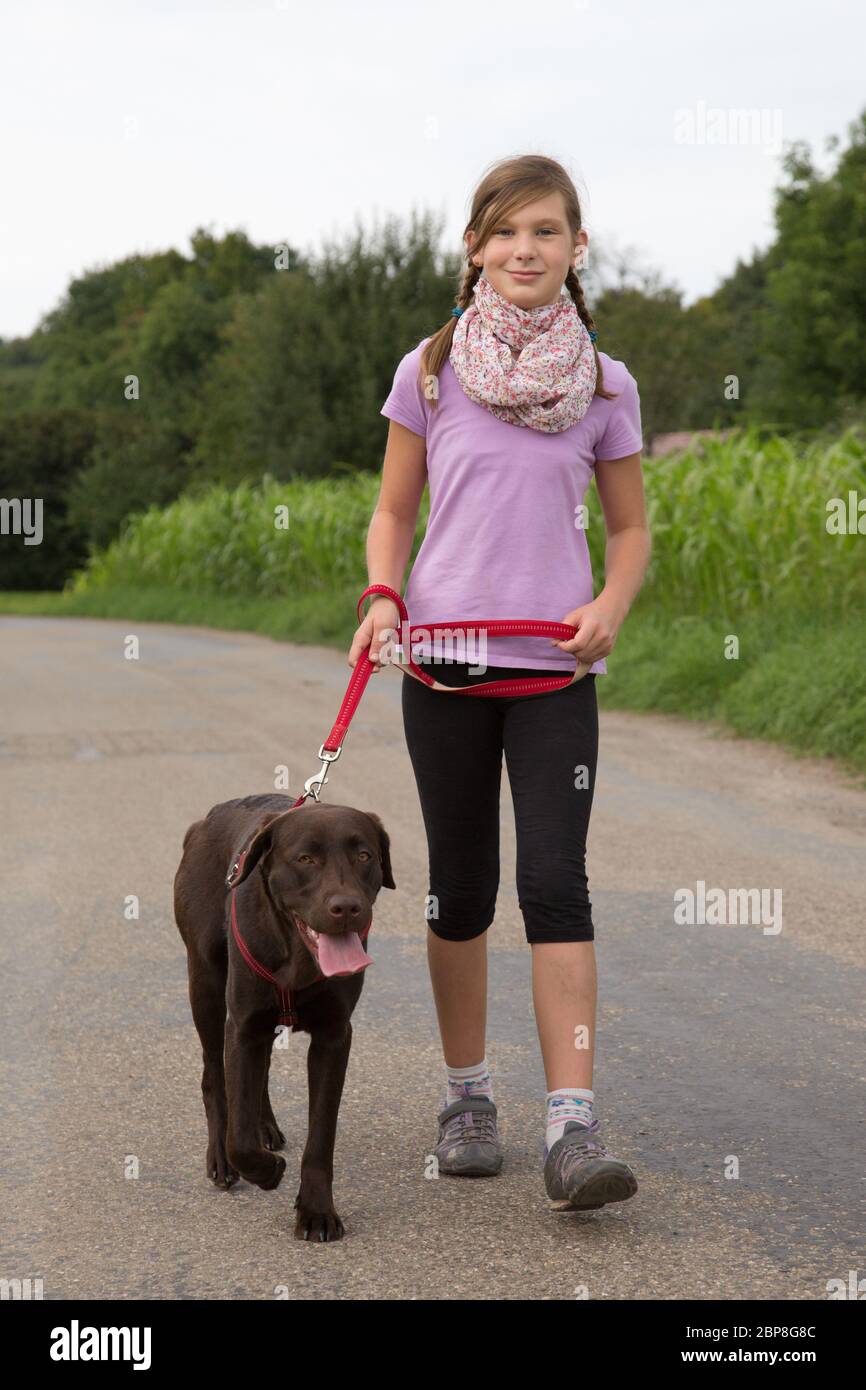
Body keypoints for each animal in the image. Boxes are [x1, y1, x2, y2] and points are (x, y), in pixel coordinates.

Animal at [173, 800, 397, 1245]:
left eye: (364, 855)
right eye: (305, 859)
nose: (347, 907)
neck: (297, 956)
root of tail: (207, 818)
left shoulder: (333, 1036)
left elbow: (321, 1135)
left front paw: (316, 1211)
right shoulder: (242, 1028)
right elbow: (239, 1136)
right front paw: (265, 1170)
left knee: (258, 1074)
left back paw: (267, 1126)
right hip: (204, 982)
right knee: (214, 1076)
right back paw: (221, 1158)